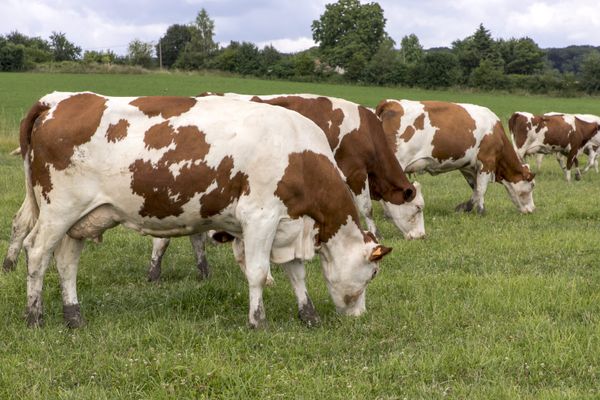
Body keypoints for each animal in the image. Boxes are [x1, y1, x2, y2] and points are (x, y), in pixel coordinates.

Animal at [12, 92, 394, 330]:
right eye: (373, 274)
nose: (359, 317)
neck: (299, 154)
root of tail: (59, 100)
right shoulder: (260, 217)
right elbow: (258, 273)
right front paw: (258, 321)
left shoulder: (289, 224)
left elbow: (296, 273)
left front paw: (309, 315)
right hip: (58, 211)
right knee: (37, 253)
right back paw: (34, 317)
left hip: (80, 219)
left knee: (66, 261)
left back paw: (73, 316)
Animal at [145, 93, 426, 282]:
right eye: (418, 209)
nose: (422, 237)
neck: (366, 131)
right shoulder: (354, 172)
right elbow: (365, 208)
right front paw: (373, 233)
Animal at [376, 98, 536, 214]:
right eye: (532, 185)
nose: (533, 210)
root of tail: (391, 102)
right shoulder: (487, 162)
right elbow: (481, 189)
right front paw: (480, 211)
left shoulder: (469, 166)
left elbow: (475, 189)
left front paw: (467, 208)